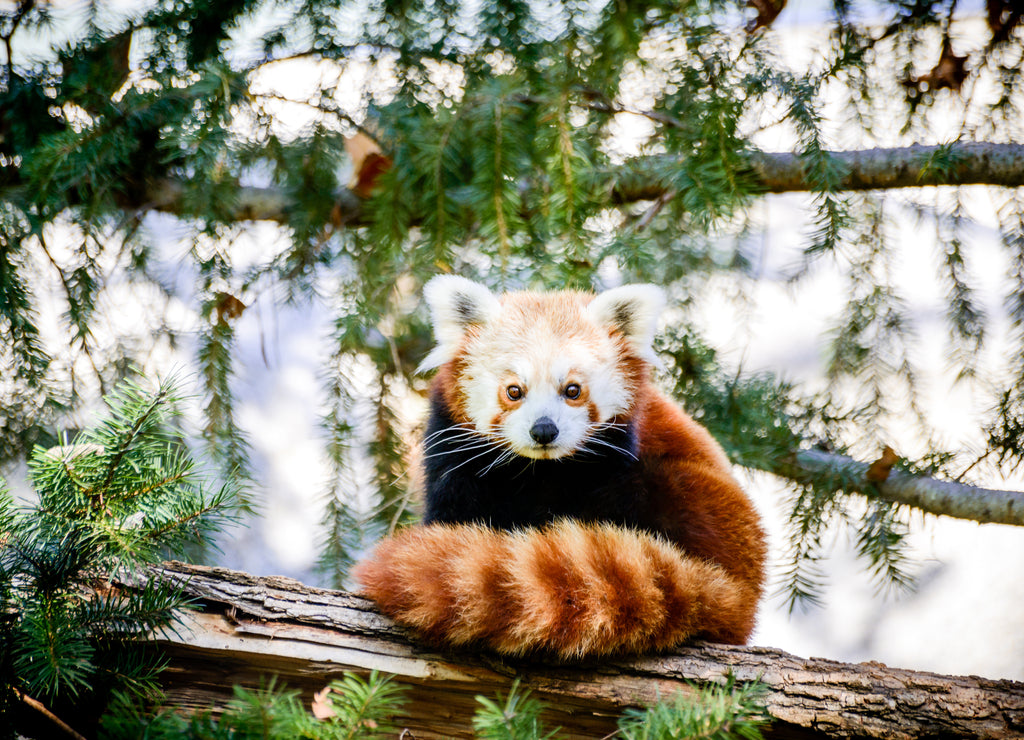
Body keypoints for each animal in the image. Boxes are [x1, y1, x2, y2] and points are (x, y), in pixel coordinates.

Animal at [356, 278, 765, 659]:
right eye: (514, 391)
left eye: (572, 390)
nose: (544, 430)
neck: (537, 471)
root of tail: (743, 589)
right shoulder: (453, 453)